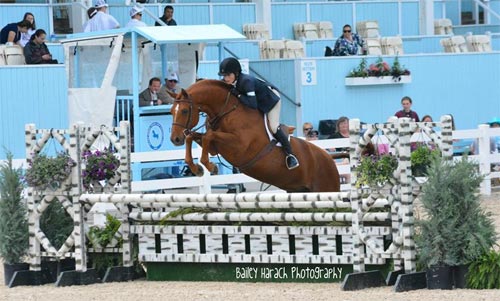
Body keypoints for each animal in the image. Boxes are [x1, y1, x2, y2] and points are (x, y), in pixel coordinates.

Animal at [171, 79, 340, 192]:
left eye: (184, 111)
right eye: (171, 111)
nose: (175, 139)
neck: (227, 111)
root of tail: (329, 159)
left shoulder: (239, 146)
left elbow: (209, 136)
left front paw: (211, 167)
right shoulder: (215, 147)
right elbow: (194, 137)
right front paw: (197, 169)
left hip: (325, 189)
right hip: (297, 190)